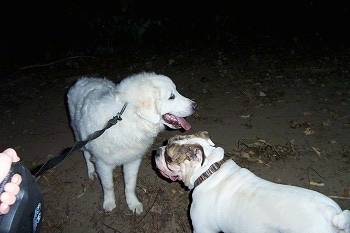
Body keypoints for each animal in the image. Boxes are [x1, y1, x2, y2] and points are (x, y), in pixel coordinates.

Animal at [67, 72, 196, 214]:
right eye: (171, 97)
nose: (195, 105)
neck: (129, 119)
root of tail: (83, 79)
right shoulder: (103, 164)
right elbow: (108, 185)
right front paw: (109, 202)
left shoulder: (133, 160)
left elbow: (130, 185)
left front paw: (133, 203)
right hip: (79, 135)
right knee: (86, 154)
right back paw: (91, 172)